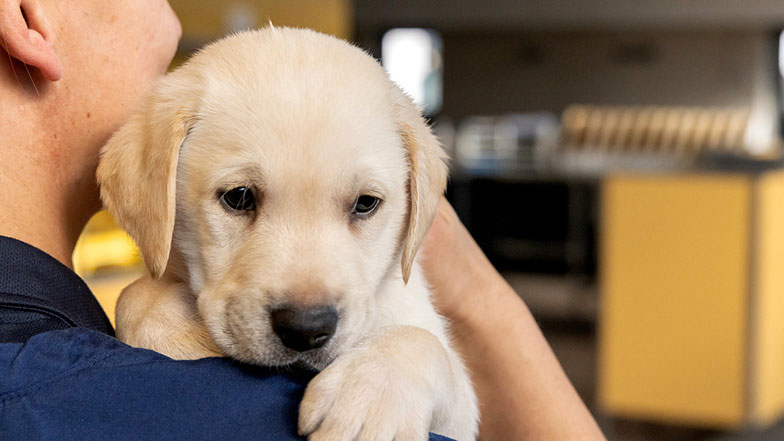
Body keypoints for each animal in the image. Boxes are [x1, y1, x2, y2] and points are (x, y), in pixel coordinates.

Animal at [98, 27, 478, 440]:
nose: (306, 328)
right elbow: (133, 295)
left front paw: (371, 395)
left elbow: (423, 343)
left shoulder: (462, 414)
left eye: (365, 203)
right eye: (239, 197)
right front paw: (184, 334)